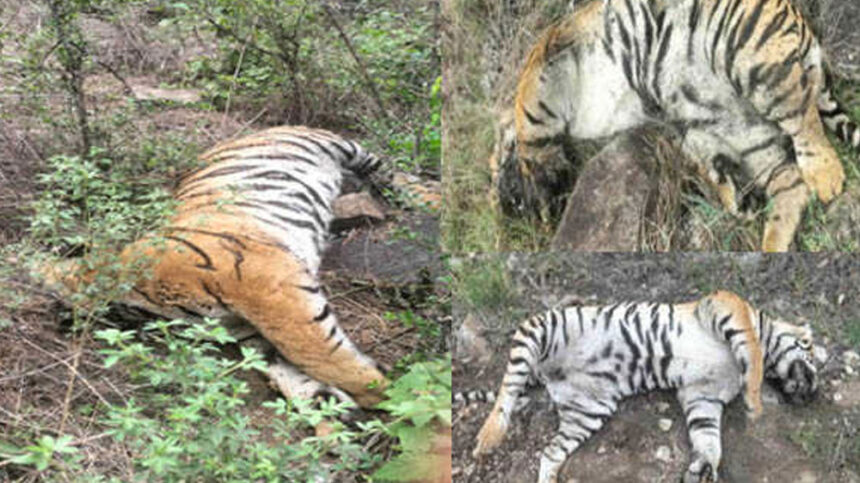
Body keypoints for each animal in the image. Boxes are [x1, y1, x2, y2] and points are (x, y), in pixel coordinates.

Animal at [40, 126, 389, 409]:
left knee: (387, 168)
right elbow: (295, 370)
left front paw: (385, 394)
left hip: (338, 145)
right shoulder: (251, 331)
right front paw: (331, 406)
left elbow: (320, 354)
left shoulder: (273, 292)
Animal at [462, 290, 818, 483]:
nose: (814, 391)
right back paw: (488, 437)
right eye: (812, 351)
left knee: (549, 453)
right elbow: (752, 352)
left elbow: (709, 440)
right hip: (542, 327)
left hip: (587, 411)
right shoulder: (724, 304)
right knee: (508, 386)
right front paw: (755, 402)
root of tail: (546, 373)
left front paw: (703, 468)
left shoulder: (703, 397)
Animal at [495, 0, 860, 252]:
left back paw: (826, 177)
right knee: (790, 185)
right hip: (737, 127)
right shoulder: (665, 121)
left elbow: (526, 118)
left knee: (803, 117)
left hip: (752, 55)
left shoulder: (547, 57)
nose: (504, 208)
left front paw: (533, 187)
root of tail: (801, 21)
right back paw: (767, 237)